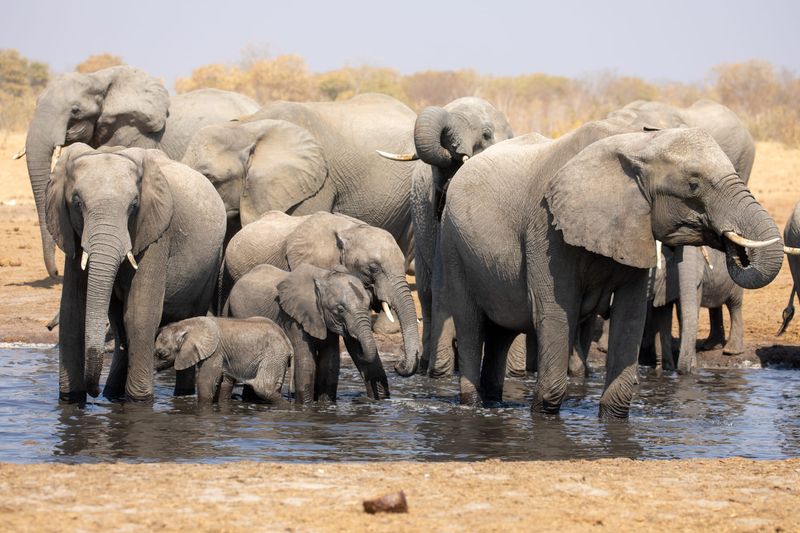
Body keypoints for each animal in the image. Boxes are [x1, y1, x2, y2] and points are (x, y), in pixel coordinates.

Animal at [46, 144, 226, 402]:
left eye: (133, 205)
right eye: (77, 203)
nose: (94, 392)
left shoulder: (157, 234)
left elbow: (140, 313)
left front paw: (140, 401)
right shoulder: (70, 233)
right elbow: (73, 310)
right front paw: (72, 399)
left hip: (212, 264)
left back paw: (180, 396)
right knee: (119, 324)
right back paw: (112, 394)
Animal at [154, 316, 292, 404]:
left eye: (162, 354)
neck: (186, 324)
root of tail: (288, 341)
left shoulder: (215, 351)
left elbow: (206, 381)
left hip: (274, 355)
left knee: (263, 388)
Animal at [228, 264, 387, 402]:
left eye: (368, 305)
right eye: (340, 309)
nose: (360, 350)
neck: (324, 276)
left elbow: (330, 361)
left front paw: (325, 404)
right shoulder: (293, 318)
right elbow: (305, 361)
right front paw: (306, 406)